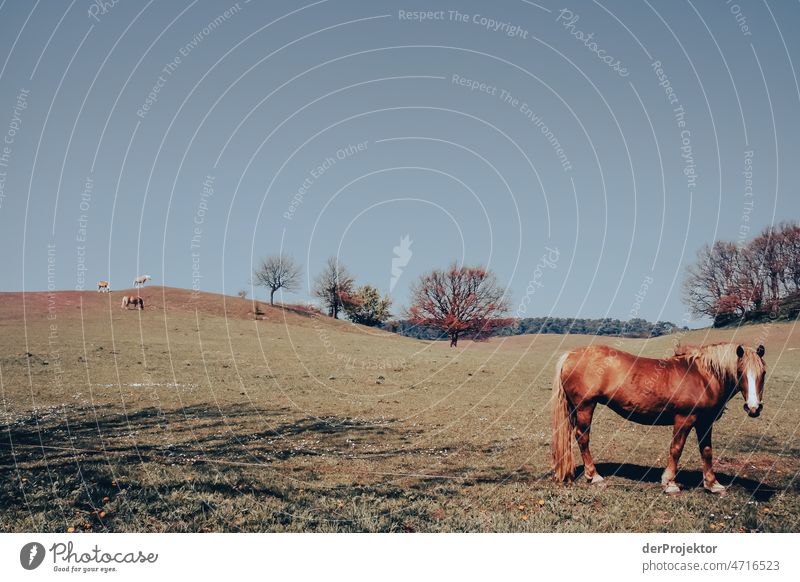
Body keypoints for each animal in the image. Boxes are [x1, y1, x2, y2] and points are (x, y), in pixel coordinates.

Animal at [552, 344, 764, 496]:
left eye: (762, 374)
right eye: (740, 372)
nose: (754, 408)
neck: (702, 377)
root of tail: (571, 354)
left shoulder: (705, 422)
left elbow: (706, 451)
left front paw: (713, 484)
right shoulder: (684, 420)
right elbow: (676, 449)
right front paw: (670, 483)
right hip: (585, 407)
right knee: (583, 437)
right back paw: (594, 476)